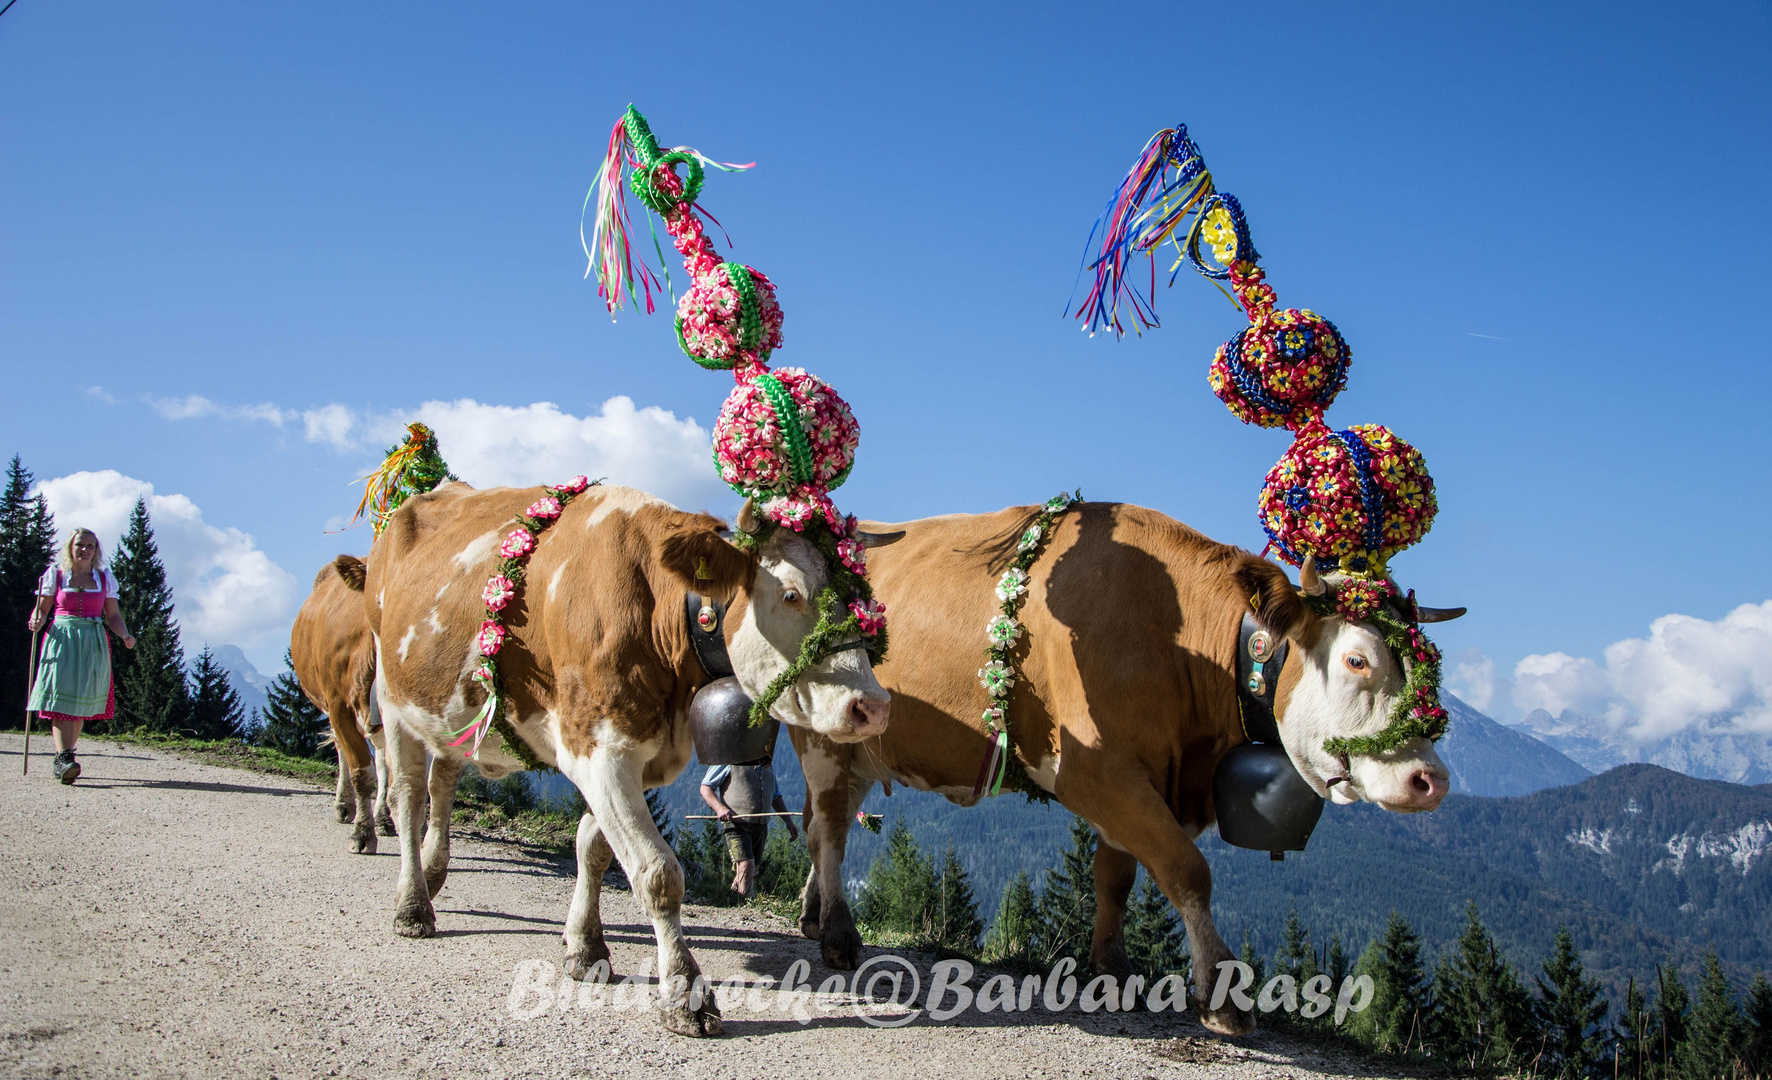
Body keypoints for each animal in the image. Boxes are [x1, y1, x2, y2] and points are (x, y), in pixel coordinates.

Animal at [292, 556, 393, 851]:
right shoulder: (338, 705)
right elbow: (361, 771)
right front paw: (362, 833)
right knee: (341, 750)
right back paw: (344, 805)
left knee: (382, 760)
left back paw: (383, 817)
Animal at [356, 485, 886, 1028]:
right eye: (791, 594)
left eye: (861, 598)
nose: (874, 707)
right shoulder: (599, 750)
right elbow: (657, 874)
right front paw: (685, 993)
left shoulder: (638, 758)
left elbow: (593, 847)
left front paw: (585, 949)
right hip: (392, 695)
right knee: (408, 797)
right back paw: (412, 906)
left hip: (452, 717)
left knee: (441, 783)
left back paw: (433, 873)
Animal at [790, 500, 1453, 1028]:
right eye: (1357, 660)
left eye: (1426, 661)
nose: (1431, 780)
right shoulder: (1096, 770)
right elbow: (1186, 870)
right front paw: (1223, 997)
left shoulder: (1145, 776)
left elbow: (1117, 877)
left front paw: (1111, 971)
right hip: (821, 737)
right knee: (829, 824)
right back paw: (839, 936)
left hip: (861, 748)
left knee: (825, 825)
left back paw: (813, 913)